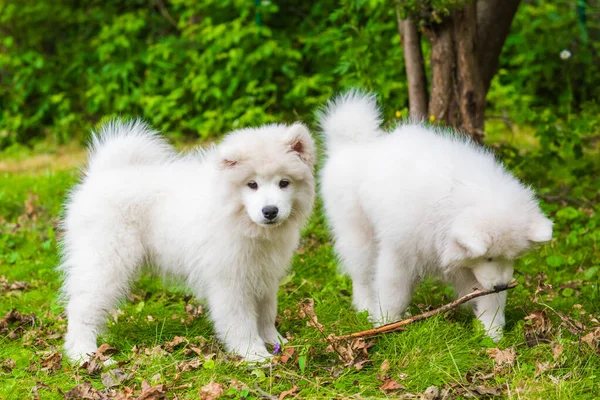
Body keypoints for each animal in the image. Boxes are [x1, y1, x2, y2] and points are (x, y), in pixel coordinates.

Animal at [58, 119, 316, 362]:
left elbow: (266, 314)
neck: (237, 218)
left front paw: (276, 342)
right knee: (81, 309)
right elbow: (241, 322)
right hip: (106, 261)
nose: (270, 211)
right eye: (252, 184)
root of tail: (100, 175)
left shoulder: (263, 275)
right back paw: (85, 355)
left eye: (284, 183)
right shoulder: (229, 281)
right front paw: (253, 354)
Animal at [318, 92, 552, 340]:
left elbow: (488, 300)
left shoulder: (467, 266)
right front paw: (385, 323)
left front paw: (492, 333)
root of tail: (350, 145)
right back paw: (365, 308)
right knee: (361, 275)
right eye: (489, 257)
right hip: (359, 235)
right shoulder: (400, 252)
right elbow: (392, 291)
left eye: (511, 257)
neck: (453, 200)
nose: (501, 286)